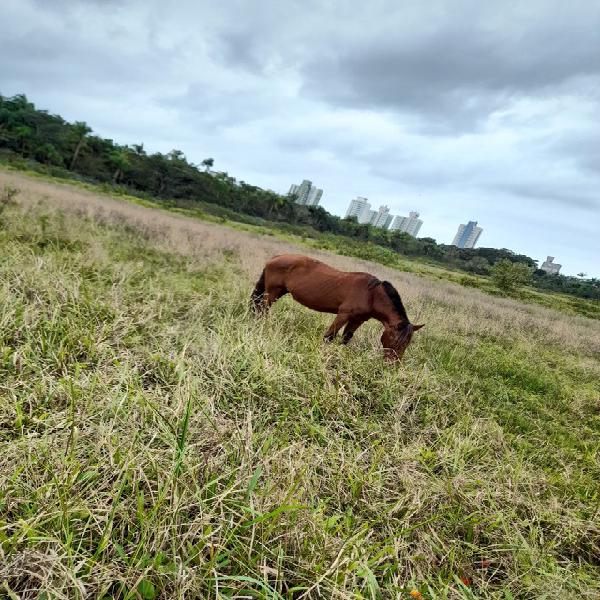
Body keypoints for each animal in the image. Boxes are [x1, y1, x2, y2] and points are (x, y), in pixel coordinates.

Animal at [251, 253, 424, 360]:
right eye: (396, 339)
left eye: (407, 343)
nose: (392, 365)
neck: (372, 295)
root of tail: (276, 257)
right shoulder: (343, 314)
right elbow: (330, 335)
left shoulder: (358, 320)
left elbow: (346, 338)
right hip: (272, 292)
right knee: (263, 309)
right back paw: (262, 326)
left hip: (279, 292)